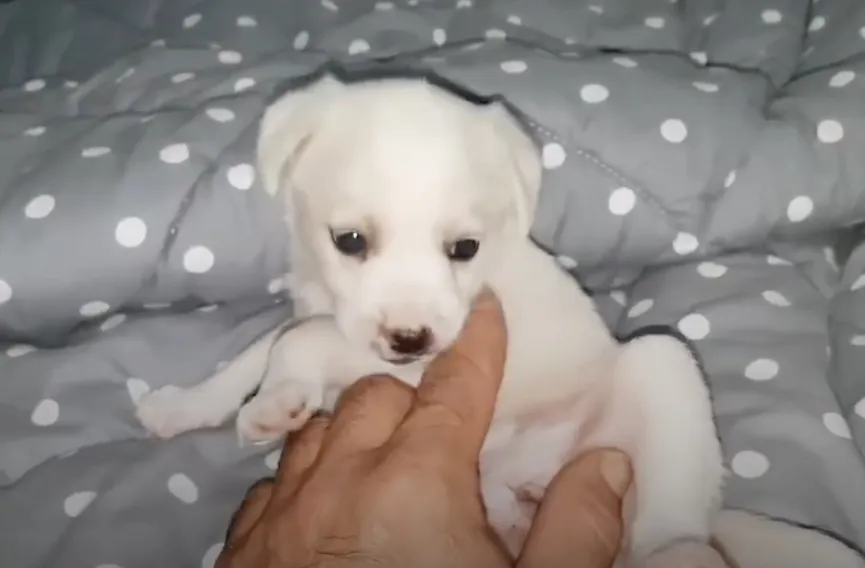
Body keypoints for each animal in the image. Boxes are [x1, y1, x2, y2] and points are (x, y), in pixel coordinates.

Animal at [138, 76, 860, 568]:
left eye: (464, 248)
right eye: (349, 240)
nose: (410, 339)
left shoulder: (426, 354)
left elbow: (299, 342)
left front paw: (275, 400)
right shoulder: (327, 308)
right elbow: (262, 348)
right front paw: (192, 405)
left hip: (663, 375)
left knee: (666, 531)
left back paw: (679, 551)